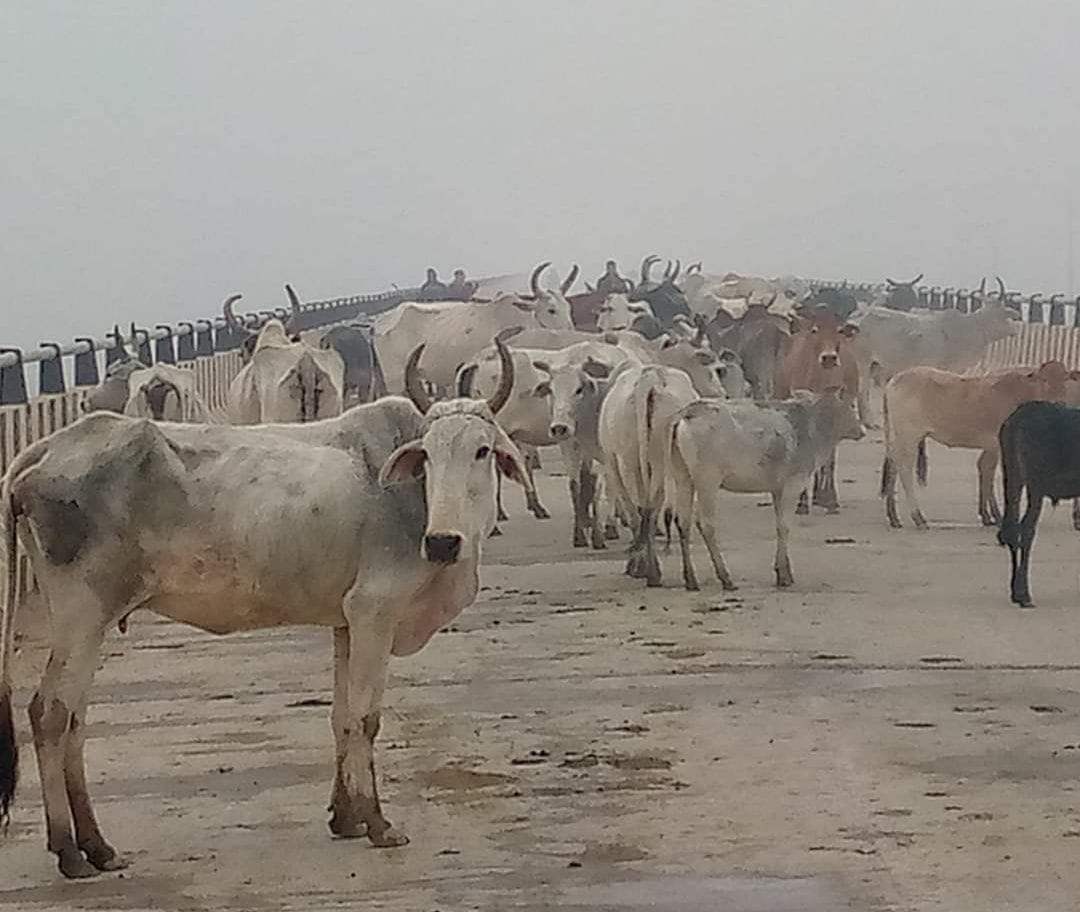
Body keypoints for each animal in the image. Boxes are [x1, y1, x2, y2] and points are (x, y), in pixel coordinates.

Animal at [0, 340, 528, 879]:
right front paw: (378, 823)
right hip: (82, 612)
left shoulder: (346, 623)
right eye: (429, 456)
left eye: (482, 450)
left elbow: (341, 716)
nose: (443, 542)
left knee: (75, 721)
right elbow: (366, 718)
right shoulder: (374, 613)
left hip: (90, 622)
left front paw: (346, 817)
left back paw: (97, 846)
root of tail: (48, 449)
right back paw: (70, 850)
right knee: (49, 713)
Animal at [669, 389, 864, 590]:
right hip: (708, 480)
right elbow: (784, 526)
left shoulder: (777, 489)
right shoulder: (793, 484)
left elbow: (779, 524)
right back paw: (725, 578)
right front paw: (784, 576)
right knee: (706, 524)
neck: (812, 425)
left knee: (683, 522)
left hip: (683, 477)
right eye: (850, 406)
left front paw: (784, 571)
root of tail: (688, 413)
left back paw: (691, 579)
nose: (861, 430)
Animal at [776, 307, 861, 514]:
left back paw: (820, 495)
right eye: (815, 330)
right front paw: (801, 502)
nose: (829, 357)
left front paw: (830, 499)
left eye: (840, 330)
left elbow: (829, 459)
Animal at [880, 361, 1068, 529]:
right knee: (904, 469)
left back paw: (894, 517)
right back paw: (918, 517)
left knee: (892, 463)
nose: (1058, 403)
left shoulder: (992, 447)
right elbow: (991, 474)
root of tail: (894, 380)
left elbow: (985, 471)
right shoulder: (998, 446)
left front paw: (988, 516)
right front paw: (997, 517)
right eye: (1044, 380)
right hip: (909, 436)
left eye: (1064, 381)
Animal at [997, 401, 1080, 607]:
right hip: (1036, 484)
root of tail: (1019, 417)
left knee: (1012, 528)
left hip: (1013, 477)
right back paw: (1024, 594)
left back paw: (1015, 592)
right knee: (1026, 529)